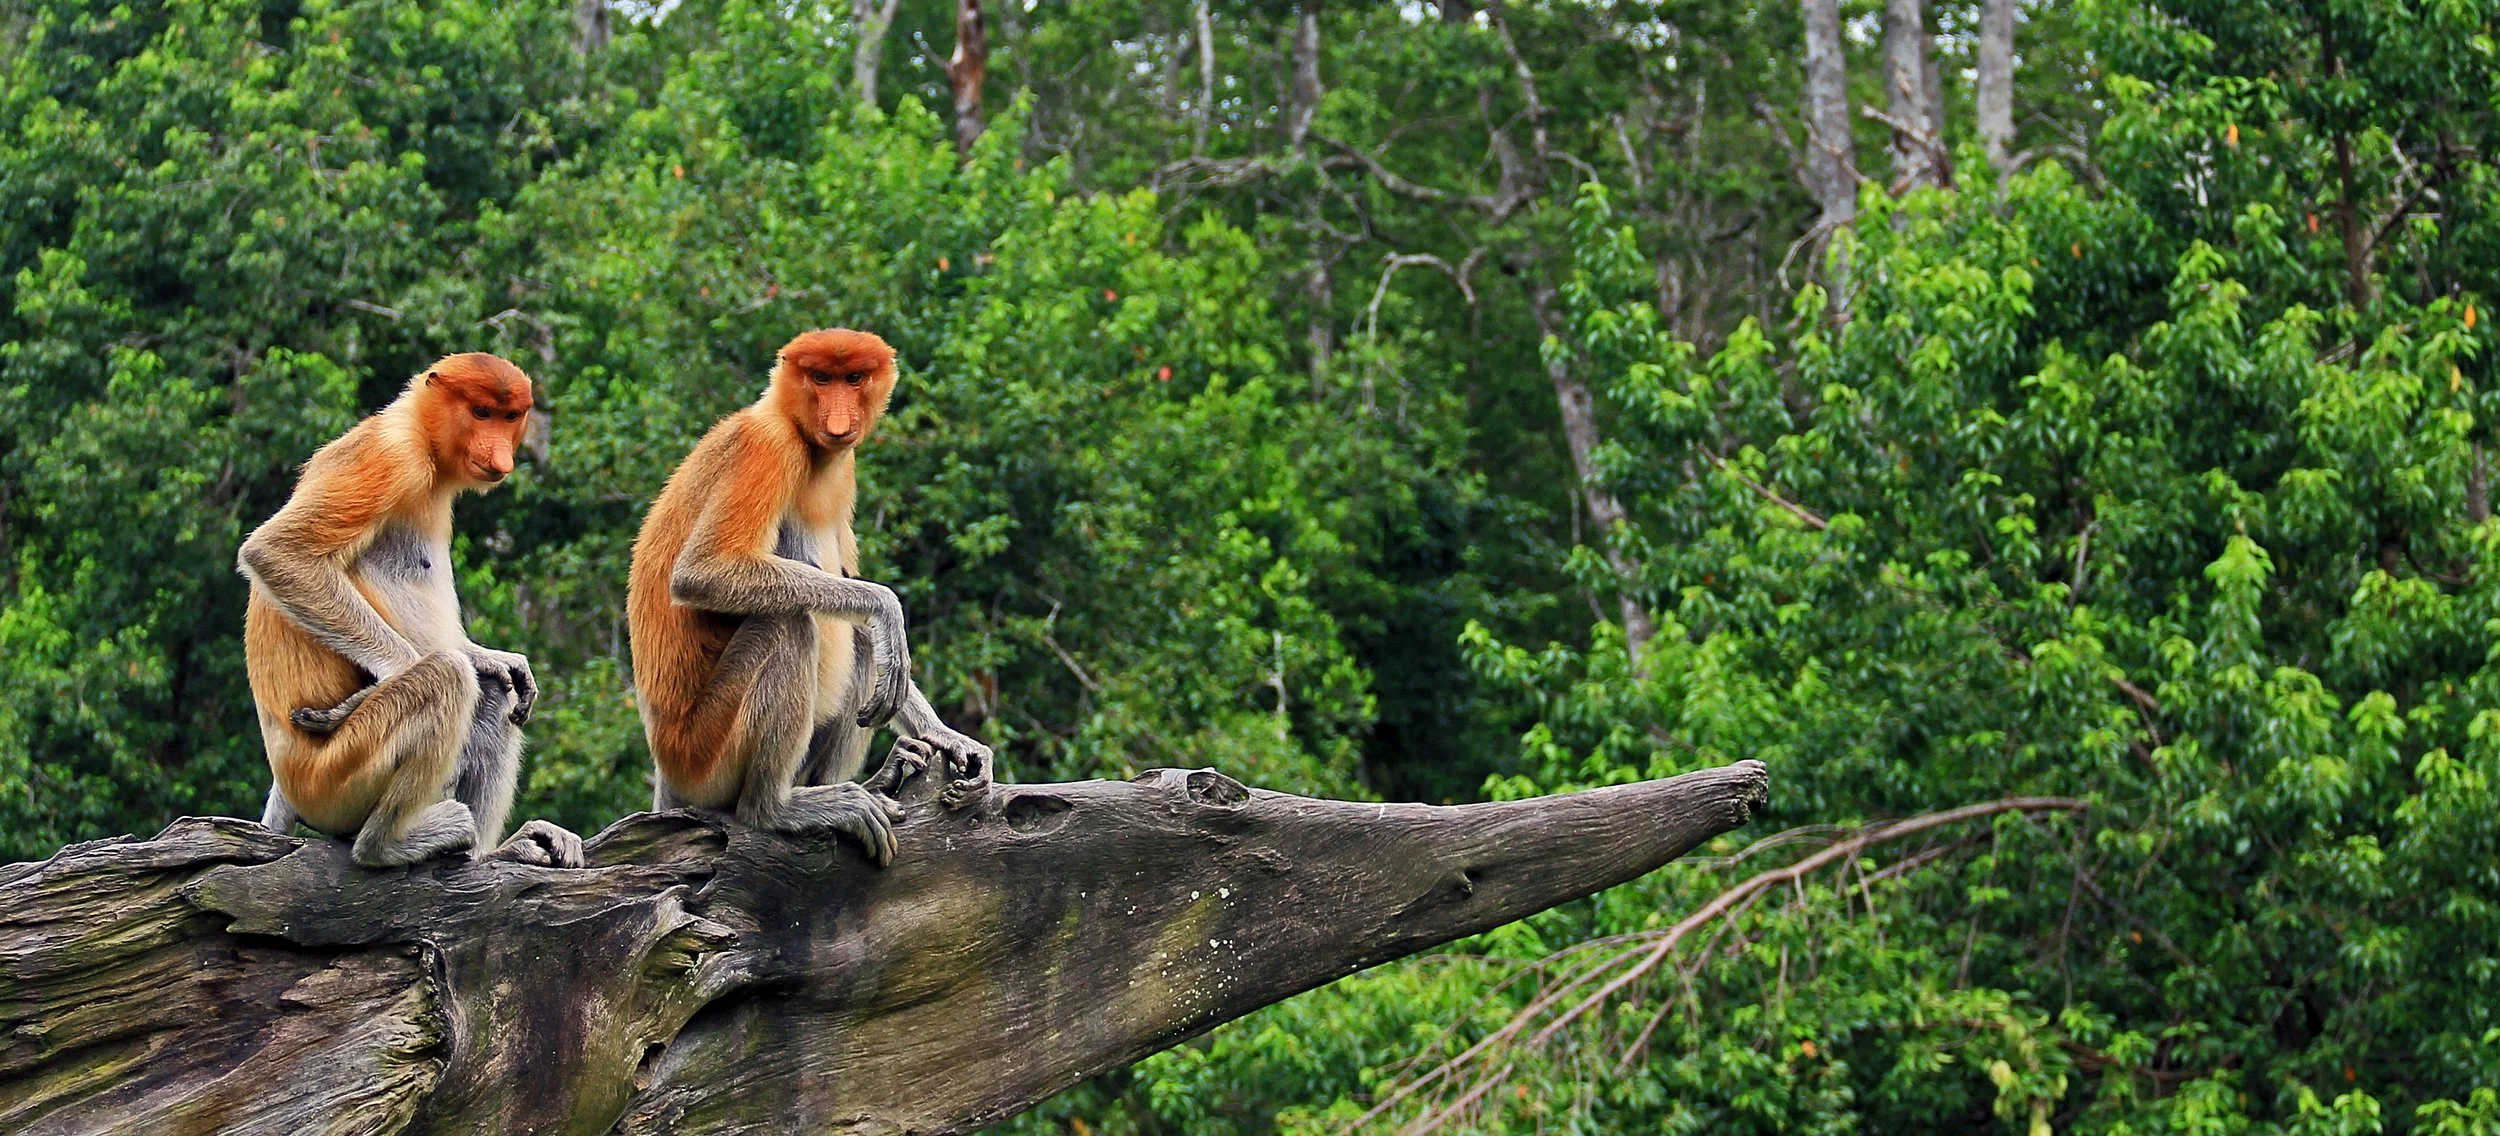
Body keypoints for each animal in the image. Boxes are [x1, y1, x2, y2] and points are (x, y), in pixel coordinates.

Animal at [240, 352, 585, 870]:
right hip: (333, 778)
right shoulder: (390, 459)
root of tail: (287, 782)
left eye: (510, 417)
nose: (501, 456)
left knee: (492, 694)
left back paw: (490, 853)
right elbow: (278, 552)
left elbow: (500, 678)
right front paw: (374, 687)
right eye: (481, 413)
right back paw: (387, 845)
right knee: (447, 678)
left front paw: (499, 660)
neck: (419, 432)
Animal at [628, 328, 994, 865]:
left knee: (858, 642)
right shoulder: (768, 447)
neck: (796, 428)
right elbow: (702, 573)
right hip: (703, 756)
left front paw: (951, 739)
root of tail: (666, 773)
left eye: (853, 378)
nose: (839, 421)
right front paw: (887, 608)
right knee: (789, 623)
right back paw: (775, 808)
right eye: (821, 378)